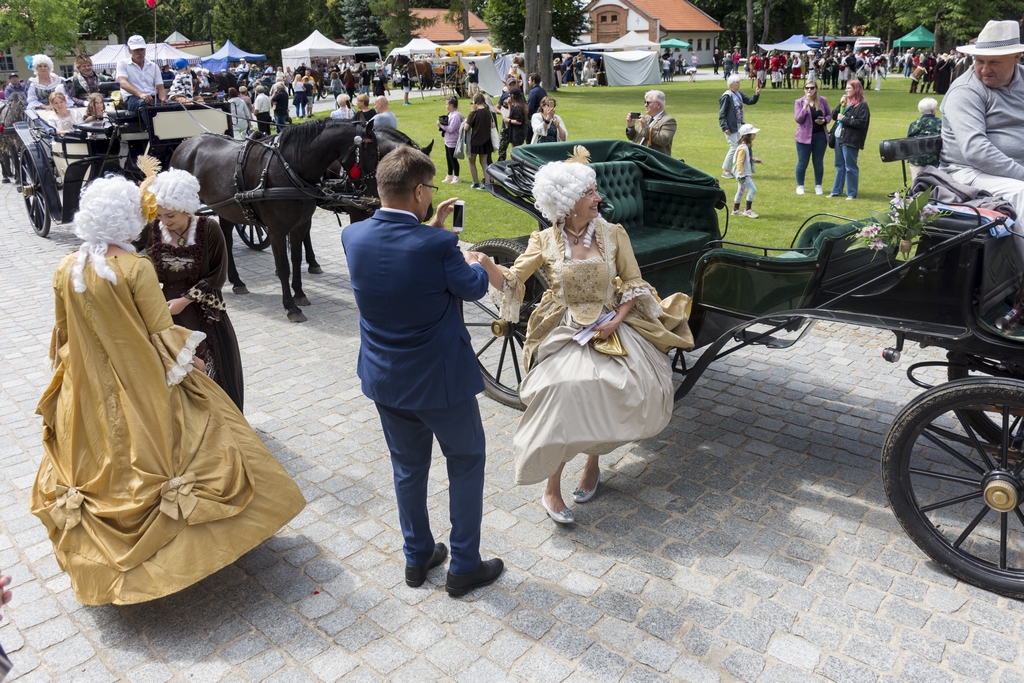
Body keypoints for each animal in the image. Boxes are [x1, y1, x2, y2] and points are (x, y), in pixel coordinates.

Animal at [170, 119, 432, 322]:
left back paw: (236, 280)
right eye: (371, 153)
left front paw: (300, 293)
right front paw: (290, 306)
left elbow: (295, 259)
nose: (369, 190)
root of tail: (185, 144)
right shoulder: (277, 229)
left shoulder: (299, 224)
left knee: (225, 233)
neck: (289, 167)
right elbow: (285, 265)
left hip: (228, 208)